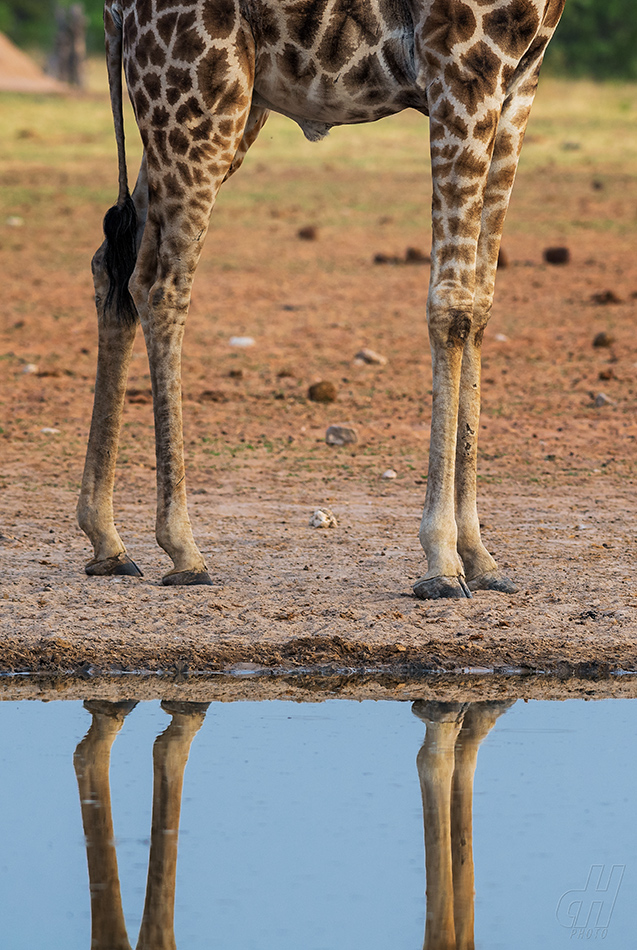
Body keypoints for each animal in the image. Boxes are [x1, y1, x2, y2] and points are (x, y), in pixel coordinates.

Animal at [76, 0, 568, 596]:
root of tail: (115, 8)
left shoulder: (517, 81)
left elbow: (479, 304)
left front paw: (480, 556)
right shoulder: (461, 63)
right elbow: (450, 306)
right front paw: (441, 561)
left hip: (214, 106)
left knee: (117, 265)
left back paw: (107, 541)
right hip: (196, 94)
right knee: (161, 286)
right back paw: (184, 548)